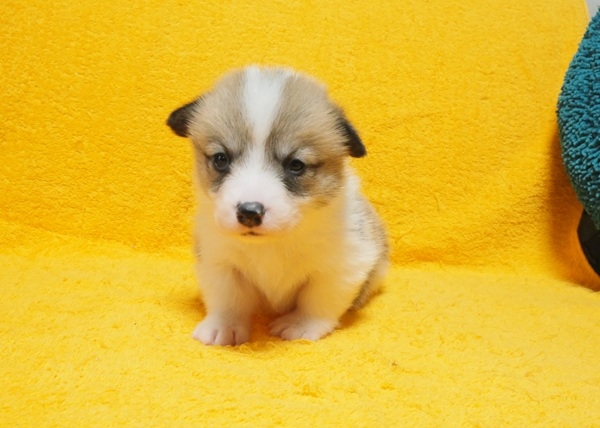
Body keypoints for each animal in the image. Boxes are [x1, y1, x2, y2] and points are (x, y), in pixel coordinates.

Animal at [167, 65, 388, 346]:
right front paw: (223, 327)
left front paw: (301, 325)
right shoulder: (218, 260)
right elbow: (227, 298)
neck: (270, 244)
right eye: (220, 159)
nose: (249, 212)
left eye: (296, 165)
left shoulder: (343, 264)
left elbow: (319, 299)